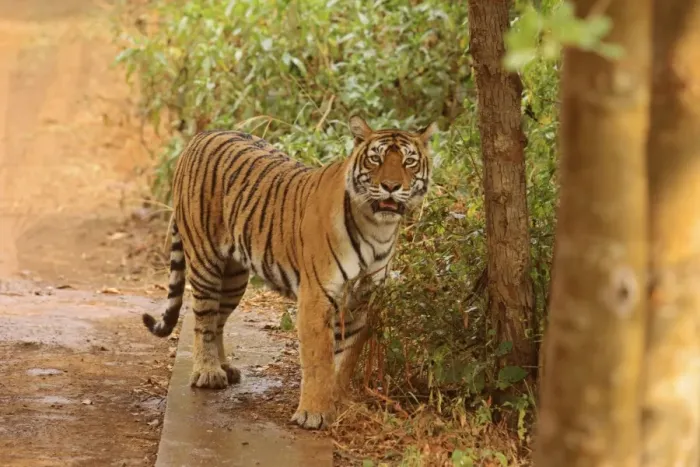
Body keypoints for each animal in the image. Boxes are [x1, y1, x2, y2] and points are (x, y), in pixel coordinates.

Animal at [141, 116, 436, 430]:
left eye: (408, 162)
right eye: (375, 159)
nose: (391, 186)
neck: (378, 227)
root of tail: (201, 135)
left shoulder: (362, 301)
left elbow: (345, 359)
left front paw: (339, 403)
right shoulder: (317, 297)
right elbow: (319, 359)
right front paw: (312, 414)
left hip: (234, 277)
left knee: (219, 320)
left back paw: (225, 367)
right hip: (205, 260)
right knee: (204, 320)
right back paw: (209, 372)